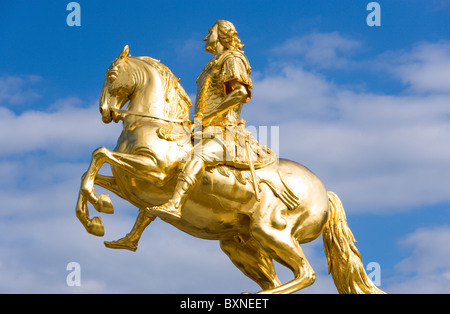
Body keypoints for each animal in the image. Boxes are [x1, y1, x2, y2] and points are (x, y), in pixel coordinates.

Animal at [75, 46, 384, 294]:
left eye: (112, 74)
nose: (105, 112)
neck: (154, 124)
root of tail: (325, 193)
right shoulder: (130, 185)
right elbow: (93, 176)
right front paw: (96, 219)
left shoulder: (155, 171)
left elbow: (99, 154)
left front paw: (101, 207)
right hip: (241, 244)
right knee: (281, 278)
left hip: (272, 231)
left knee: (306, 274)